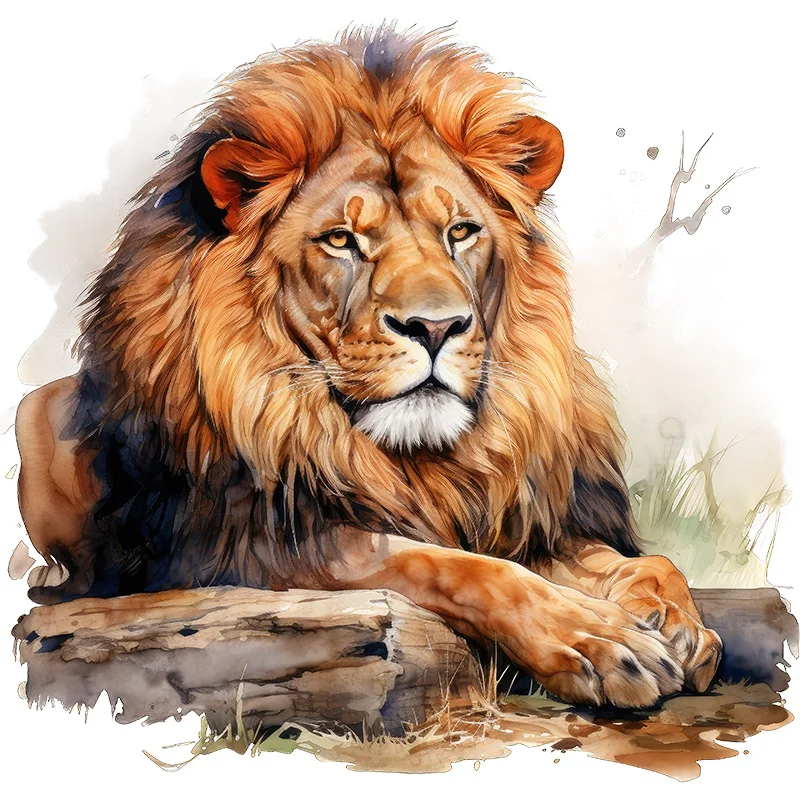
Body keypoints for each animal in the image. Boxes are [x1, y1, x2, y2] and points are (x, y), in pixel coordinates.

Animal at [15, 26, 721, 709]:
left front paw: (676, 623)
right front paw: (600, 642)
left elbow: (645, 562)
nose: (435, 327)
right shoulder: (248, 545)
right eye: (340, 240)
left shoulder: (527, 521)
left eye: (461, 232)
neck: (417, 462)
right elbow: (452, 566)